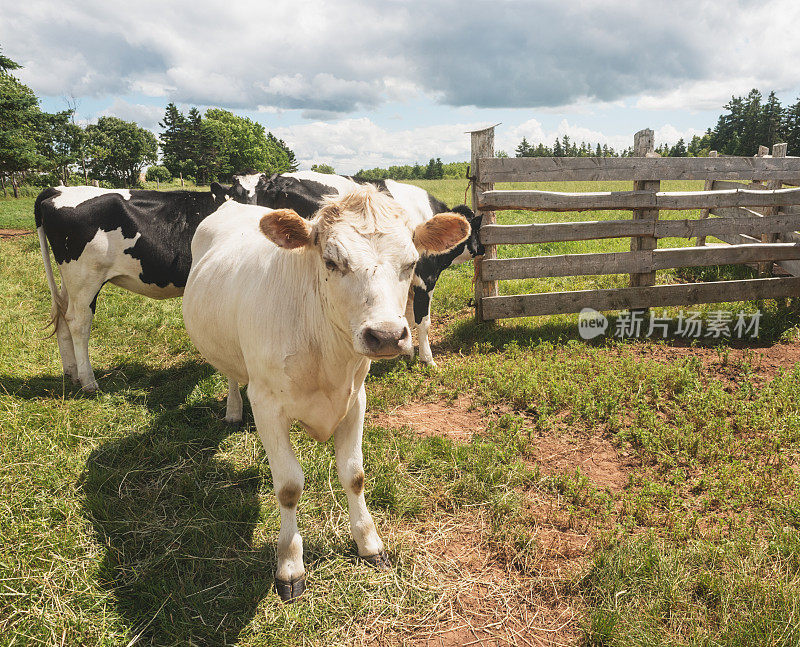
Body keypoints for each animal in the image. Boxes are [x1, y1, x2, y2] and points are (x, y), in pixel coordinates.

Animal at [34, 185, 228, 392]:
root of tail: (59, 189)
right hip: (85, 279)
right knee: (78, 323)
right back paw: (89, 382)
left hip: (70, 282)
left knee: (62, 316)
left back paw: (72, 373)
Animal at [181, 184, 468, 604]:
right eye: (332, 261)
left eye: (411, 263)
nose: (386, 336)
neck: (324, 351)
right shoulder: (267, 405)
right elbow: (288, 486)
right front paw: (289, 564)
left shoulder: (355, 398)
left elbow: (354, 474)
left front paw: (369, 542)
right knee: (233, 374)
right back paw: (233, 409)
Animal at [228, 171, 484, 364]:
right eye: (477, 230)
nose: (483, 248)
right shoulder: (425, 278)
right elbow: (423, 320)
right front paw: (427, 359)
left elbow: (405, 316)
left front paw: (408, 351)